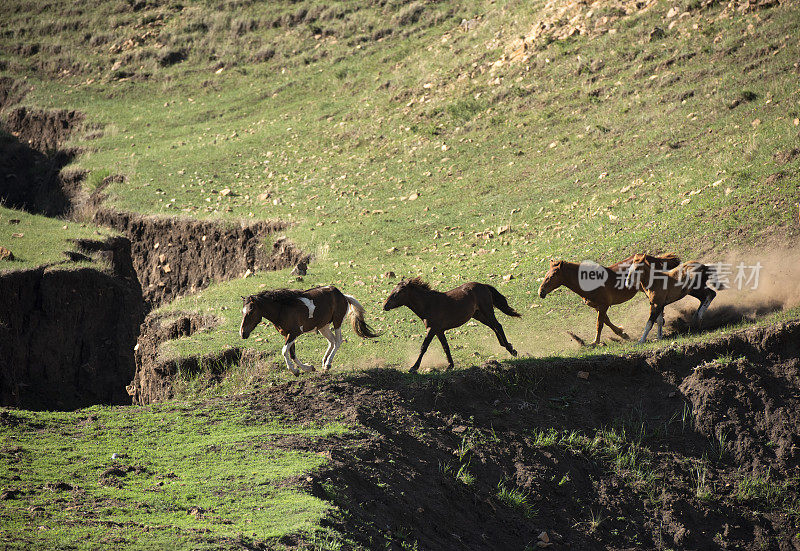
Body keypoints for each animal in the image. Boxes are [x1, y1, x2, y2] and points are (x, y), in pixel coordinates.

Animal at [239, 286, 380, 378]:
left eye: (251, 311)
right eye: (242, 312)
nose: (243, 333)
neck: (282, 309)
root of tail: (343, 296)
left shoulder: (294, 333)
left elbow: (284, 351)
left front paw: (295, 371)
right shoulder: (287, 335)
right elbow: (292, 354)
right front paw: (307, 368)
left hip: (337, 322)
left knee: (338, 341)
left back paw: (328, 364)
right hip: (323, 326)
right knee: (332, 341)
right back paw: (324, 362)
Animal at [384, 278, 520, 374]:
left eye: (398, 292)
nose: (384, 305)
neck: (428, 304)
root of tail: (483, 285)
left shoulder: (432, 329)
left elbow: (423, 347)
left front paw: (413, 367)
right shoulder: (439, 331)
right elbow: (445, 347)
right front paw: (450, 366)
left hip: (487, 311)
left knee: (498, 326)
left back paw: (512, 351)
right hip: (478, 315)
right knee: (494, 327)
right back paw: (508, 346)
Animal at [536, 253, 680, 344]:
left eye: (552, 276)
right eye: (546, 274)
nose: (541, 292)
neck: (589, 282)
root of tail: (655, 259)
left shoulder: (603, 305)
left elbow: (599, 324)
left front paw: (595, 342)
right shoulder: (597, 306)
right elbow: (607, 321)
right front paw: (623, 333)